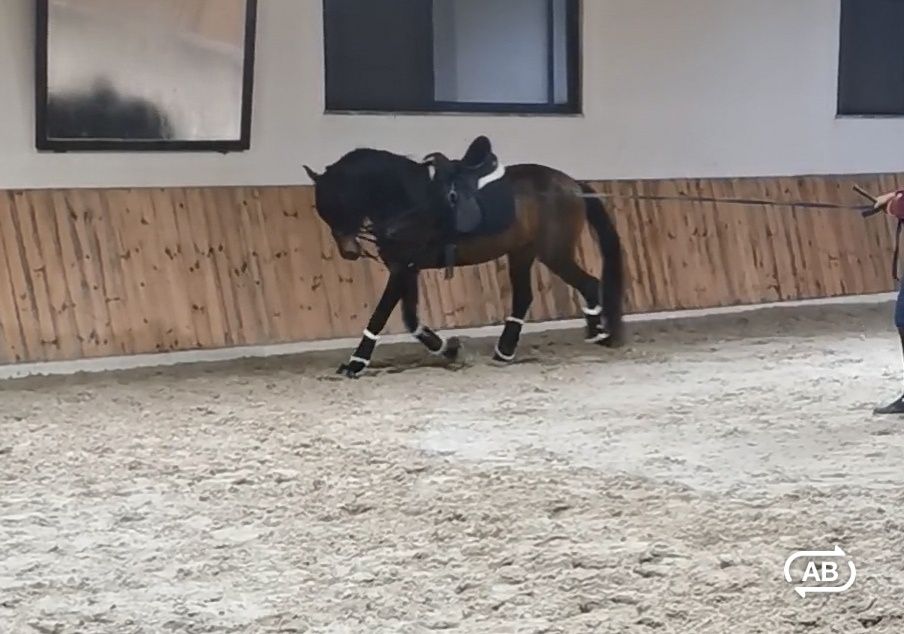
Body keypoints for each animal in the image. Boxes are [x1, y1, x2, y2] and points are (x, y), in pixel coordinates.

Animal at [303, 136, 625, 378]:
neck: (407, 199)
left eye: (341, 199)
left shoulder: (402, 267)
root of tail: (572, 185)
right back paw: (505, 352)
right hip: (522, 252)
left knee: (589, 283)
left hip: (553, 253)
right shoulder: (406, 268)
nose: (349, 252)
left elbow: (381, 315)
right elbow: (410, 318)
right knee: (525, 297)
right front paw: (447, 348)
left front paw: (356, 363)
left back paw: (598, 333)